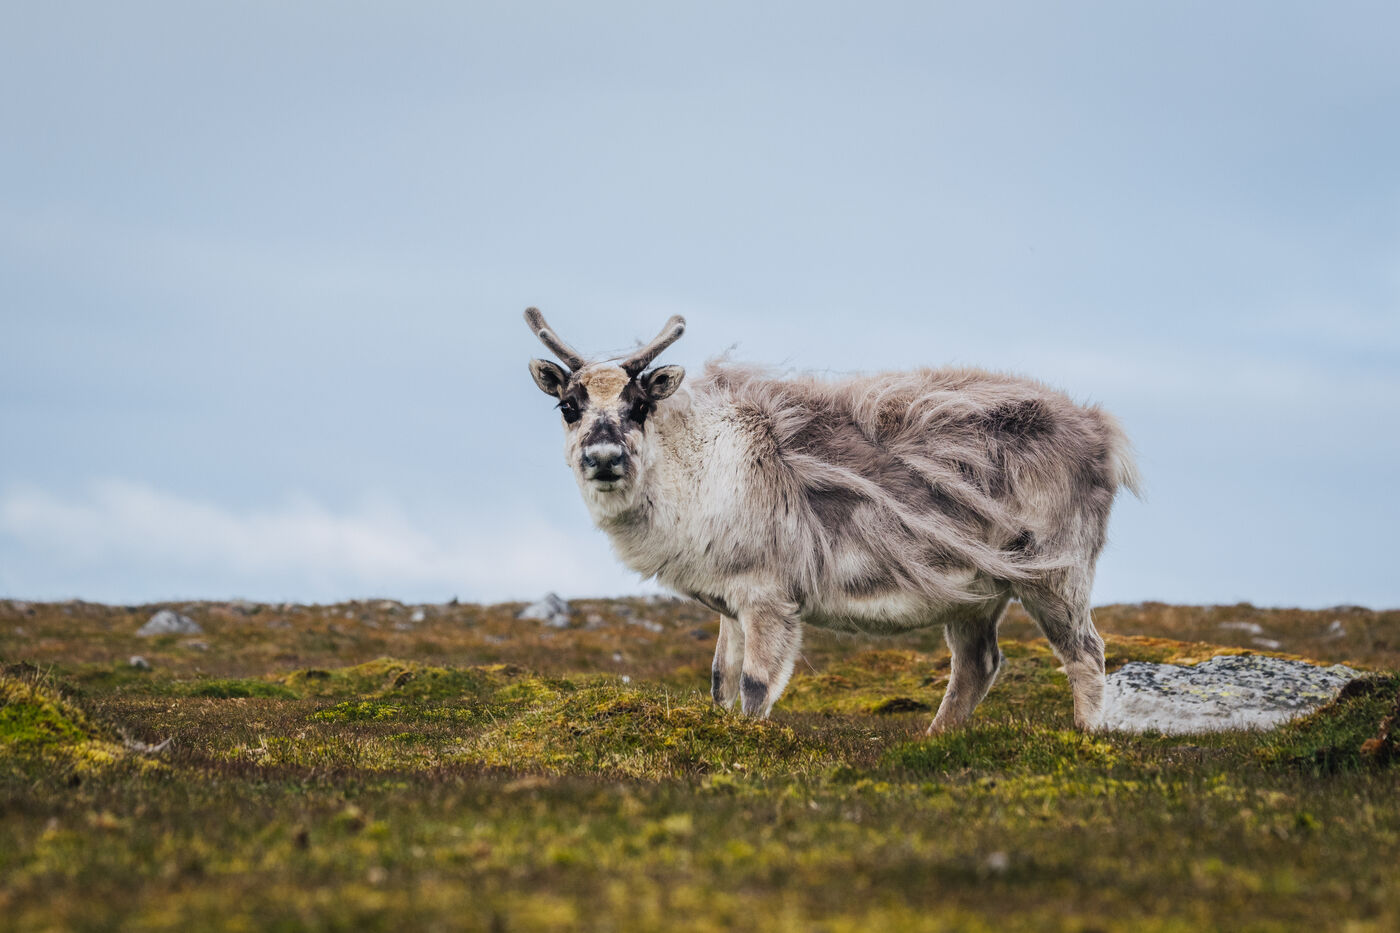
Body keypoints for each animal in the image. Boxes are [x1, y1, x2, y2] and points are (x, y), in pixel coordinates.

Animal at [523, 308, 1140, 732]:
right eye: (568, 405)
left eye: (640, 404)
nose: (605, 458)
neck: (689, 466)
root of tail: (1101, 433)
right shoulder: (728, 601)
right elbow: (721, 681)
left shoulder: (768, 596)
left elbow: (755, 684)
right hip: (975, 593)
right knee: (978, 663)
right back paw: (934, 740)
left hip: (1056, 574)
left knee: (1085, 652)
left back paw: (1085, 738)